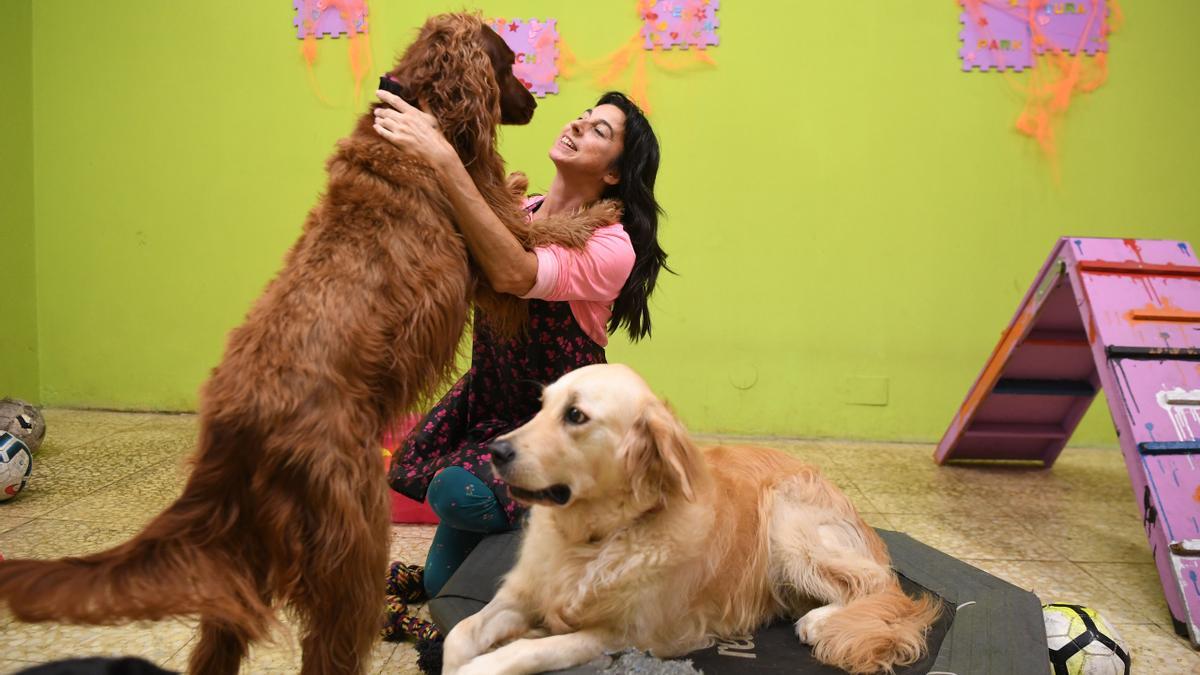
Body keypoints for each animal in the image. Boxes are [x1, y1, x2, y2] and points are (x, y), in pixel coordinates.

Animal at [0, 11, 619, 672]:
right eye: (508, 62)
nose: (537, 105)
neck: (424, 107)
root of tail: (233, 429)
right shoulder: (499, 252)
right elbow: (551, 229)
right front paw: (602, 211)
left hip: (250, 558)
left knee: (217, 645)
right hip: (353, 541)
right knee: (331, 644)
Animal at [441, 365, 936, 672]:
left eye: (576, 415)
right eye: (541, 406)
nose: (496, 451)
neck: (594, 537)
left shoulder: (625, 633)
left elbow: (525, 651)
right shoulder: (521, 595)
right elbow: (457, 635)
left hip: (788, 529)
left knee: (880, 586)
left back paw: (819, 621)